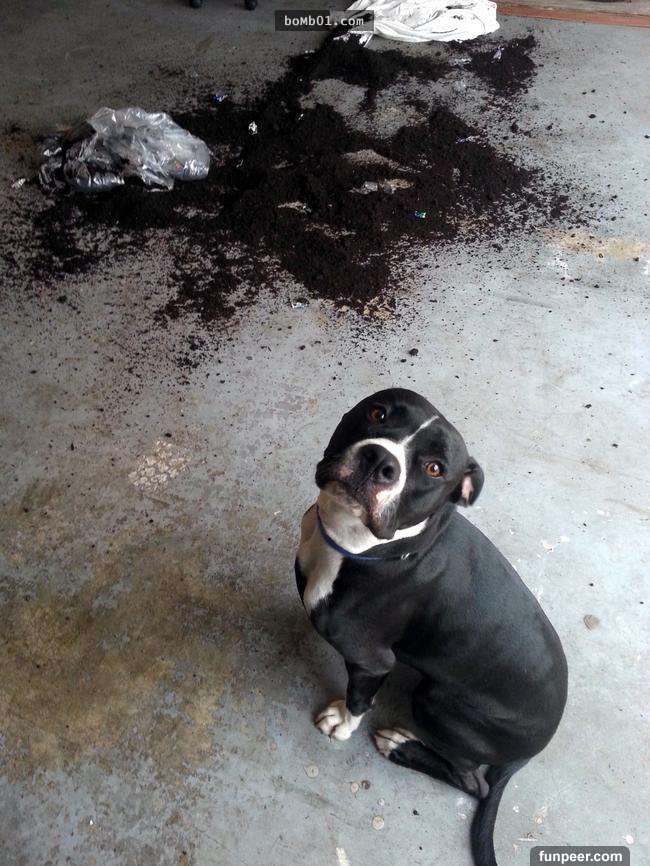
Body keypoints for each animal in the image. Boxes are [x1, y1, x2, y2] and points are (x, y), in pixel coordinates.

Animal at [295, 388, 567, 866]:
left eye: (434, 468)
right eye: (377, 412)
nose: (378, 460)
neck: (358, 545)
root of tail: (537, 747)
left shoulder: (372, 660)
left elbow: (359, 699)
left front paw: (342, 723)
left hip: (436, 702)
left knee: (473, 782)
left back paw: (401, 747)